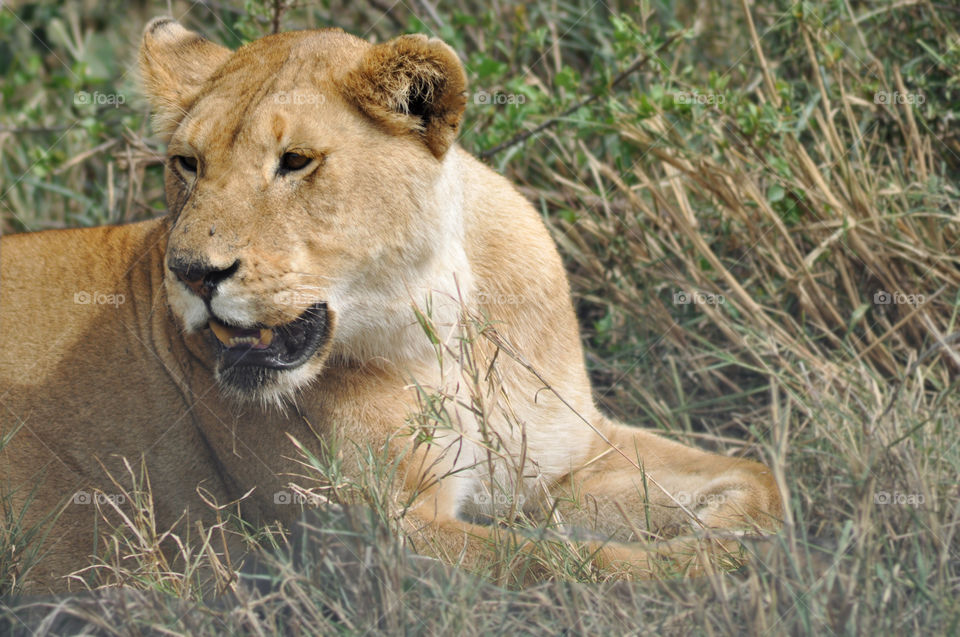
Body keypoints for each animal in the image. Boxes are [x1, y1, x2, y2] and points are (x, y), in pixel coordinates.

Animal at [0, 18, 782, 592]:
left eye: (296, 162)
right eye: (187, 165)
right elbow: (551, 561)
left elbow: (756, 475)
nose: (192, 272)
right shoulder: (372, 536)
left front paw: (731, 526)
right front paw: (711, 566)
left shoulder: (566, 461)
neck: (441, 328)